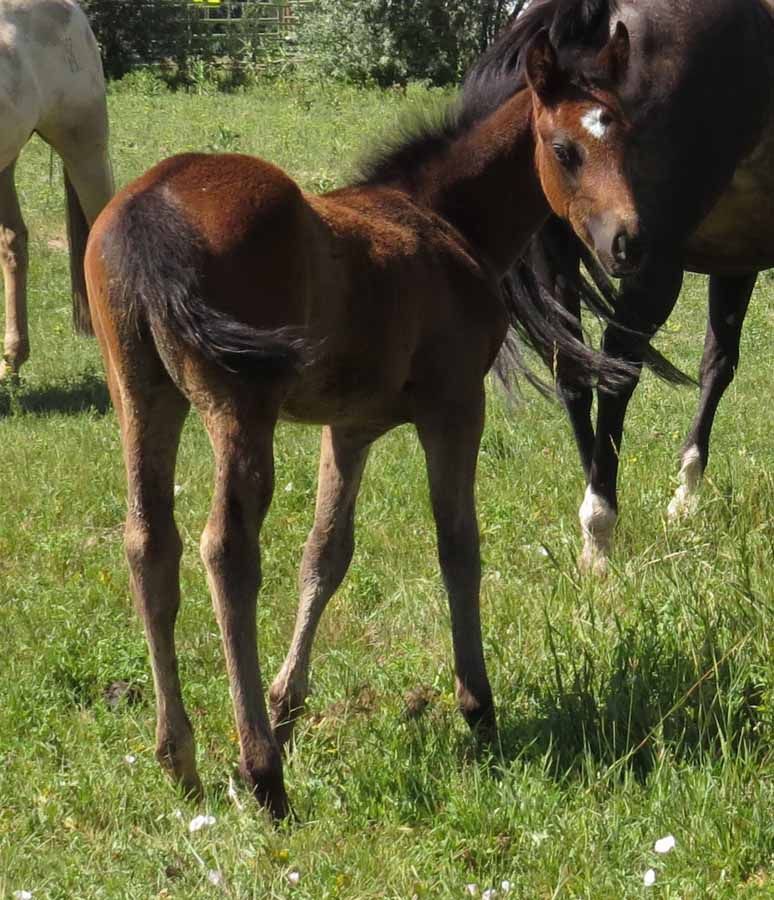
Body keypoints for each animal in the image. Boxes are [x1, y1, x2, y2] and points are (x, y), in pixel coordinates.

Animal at [84, 0, 638, 818]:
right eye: (564, 149)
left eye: (627, 134)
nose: (627, 241)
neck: (443, 217)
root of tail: (152, 207)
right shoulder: (454, 407)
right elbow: (458, 546)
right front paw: (479, 709)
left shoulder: (348, 426)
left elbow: (326, 553)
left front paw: (288, 706)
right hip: (236, 409)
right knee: (227, 551)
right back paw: (261, 773)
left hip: (141, 398)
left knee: (149, 544)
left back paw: (180, 761)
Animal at [500, 0, 774, 573]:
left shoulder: (738, 256)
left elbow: (717, 362)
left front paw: (685, 497)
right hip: (648, 265)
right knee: (617, 369)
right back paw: (600, 528)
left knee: (575, 370)